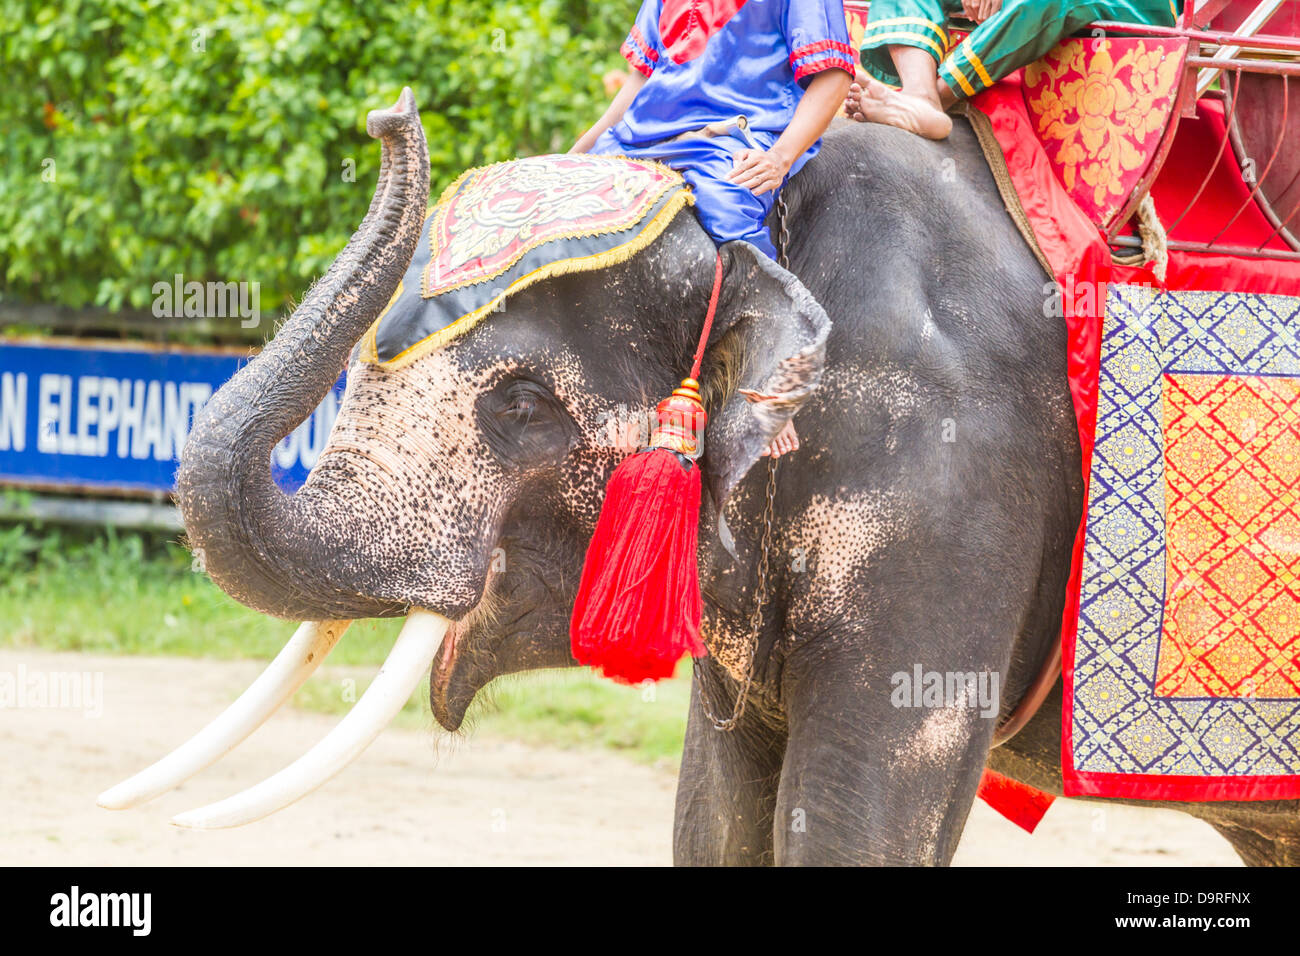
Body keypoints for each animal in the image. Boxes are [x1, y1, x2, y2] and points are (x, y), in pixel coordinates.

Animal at [100, 90, 1300, 865]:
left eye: (520, 404)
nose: (386, 118)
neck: (763, 231)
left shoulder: (958, 486)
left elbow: (859, 811)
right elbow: (714, 819)